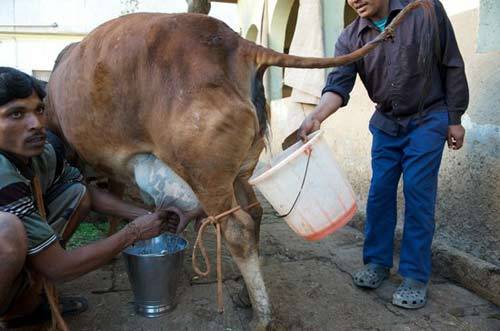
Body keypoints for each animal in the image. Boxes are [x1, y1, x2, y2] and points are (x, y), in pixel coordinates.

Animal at [46, 3, 430, 330]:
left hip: (206, 173)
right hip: (240, 170)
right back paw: (249, 295)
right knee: (255, 213)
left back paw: (261, 316)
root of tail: (237, 44)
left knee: (238, 229)